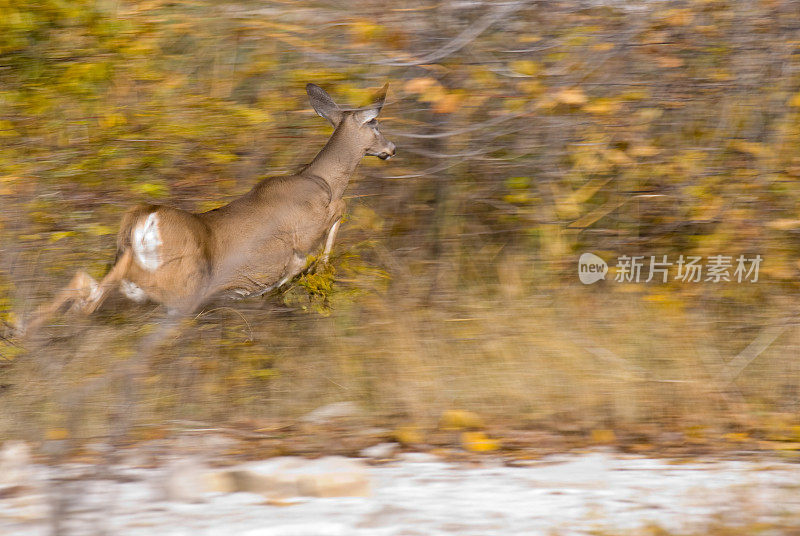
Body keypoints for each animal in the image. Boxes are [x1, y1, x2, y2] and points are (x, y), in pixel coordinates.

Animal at [18, 82, 394, 336]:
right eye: (375, 124)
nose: (392, 147)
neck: (320, 179)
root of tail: (144, 218)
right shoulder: (306, 228)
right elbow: (339, 212)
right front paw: (321, 269)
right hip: (183, 284)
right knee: (104, 287)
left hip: (146, 273)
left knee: (88, 280)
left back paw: (26, 327)